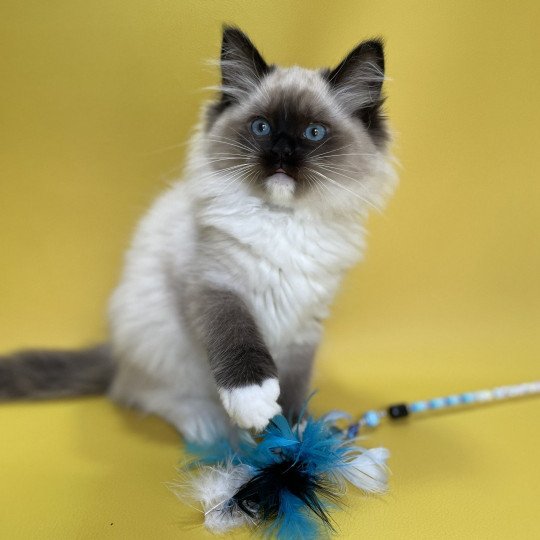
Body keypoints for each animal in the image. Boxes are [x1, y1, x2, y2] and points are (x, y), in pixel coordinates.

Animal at [0, 26, 396, 442]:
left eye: (313, 133)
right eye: (262, 127)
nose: (282, 153)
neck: (281, 220)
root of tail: (116, 353)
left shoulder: (305, 323)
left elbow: (294, 385)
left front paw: (294, 437)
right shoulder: (214, 286)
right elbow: (237, 338)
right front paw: (256, 404)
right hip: (161, 342)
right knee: (139, 392)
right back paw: (209, 425)